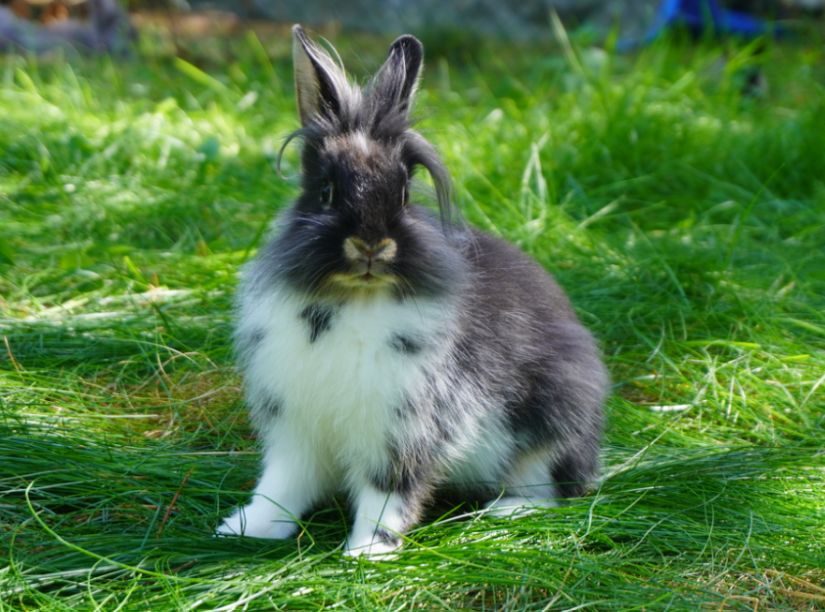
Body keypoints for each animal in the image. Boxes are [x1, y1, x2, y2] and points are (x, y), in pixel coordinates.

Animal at [216, 25, 608, 557]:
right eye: (325, 192)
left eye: (402, 194)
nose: (371, 245)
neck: (353, 298)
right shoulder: (297, 427)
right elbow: (283, 483)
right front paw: (247, 527)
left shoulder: (404, 429)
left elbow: (387, 492)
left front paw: (368, 552)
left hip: (554, 422)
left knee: (551, 490)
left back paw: (503, 514)